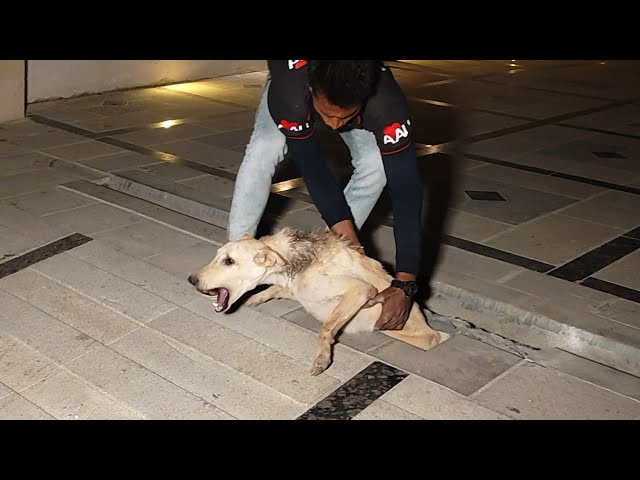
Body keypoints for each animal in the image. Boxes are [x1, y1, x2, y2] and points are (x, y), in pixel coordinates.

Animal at [190, 227, 450, 376]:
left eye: (229, 261)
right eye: (218, 256)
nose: (191, 280)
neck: (294, 260)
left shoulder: (360, 291)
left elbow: (325, 329)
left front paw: (322, 359)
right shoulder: (300, 291)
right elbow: (274, 290)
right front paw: (254, 299)